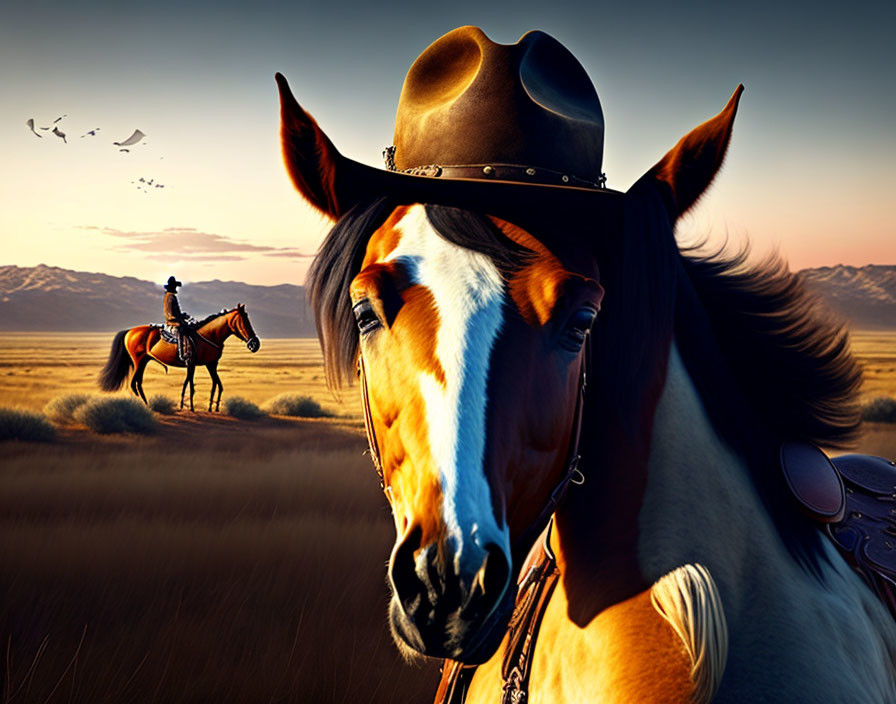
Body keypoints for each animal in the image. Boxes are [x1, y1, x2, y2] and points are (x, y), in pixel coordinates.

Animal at [99, 304, 260, 412]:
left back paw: (147, 405)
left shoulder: (211, 364)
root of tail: (129, 331)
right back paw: (145, 406)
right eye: (244, 321)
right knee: (134, 383)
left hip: (143, 361)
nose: (255, 344)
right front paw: (189, 407)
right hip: (138, 361)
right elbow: (190, 385)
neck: (209, 335)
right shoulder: (192, 364)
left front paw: (211, 408)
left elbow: (217, 385)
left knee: (137, 383)